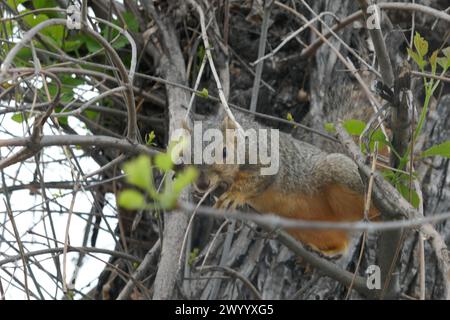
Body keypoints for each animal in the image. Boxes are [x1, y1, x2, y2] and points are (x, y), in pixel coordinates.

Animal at [197, 111, 380, 256]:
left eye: (224, 152)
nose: (202, 185)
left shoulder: (266, 155)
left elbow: (259, 178)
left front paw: (234, 194)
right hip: (308, 229)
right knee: (342, 242)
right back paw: (328, 252)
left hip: (343, 174)